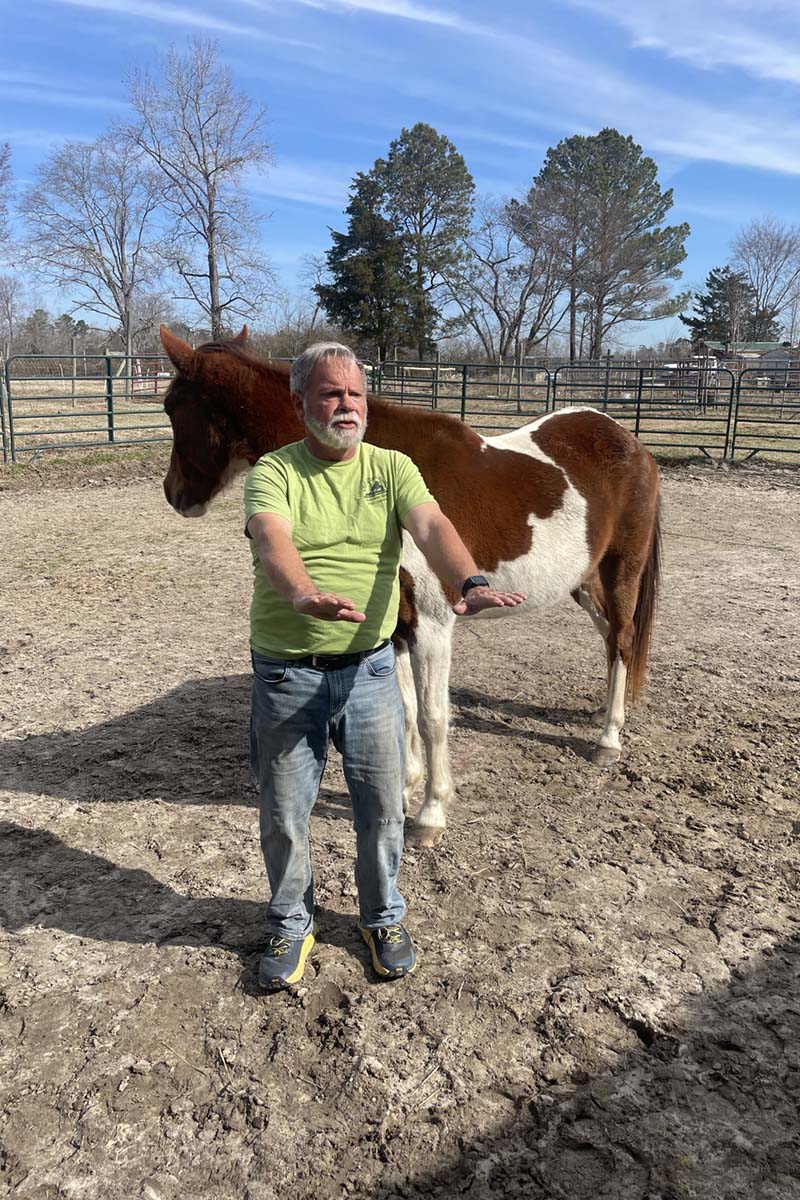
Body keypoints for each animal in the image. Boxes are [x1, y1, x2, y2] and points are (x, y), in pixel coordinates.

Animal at [159, 325, 662, 847]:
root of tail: (630, 443)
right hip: (583, 581)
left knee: (623, 639)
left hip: (621, 569)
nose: (174, 494)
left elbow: (432, 716)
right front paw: (405, 787)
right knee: (610, 639)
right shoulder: (395, 628)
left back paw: (608, 739)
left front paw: (431, 812)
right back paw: (601, 714)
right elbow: (400, 709)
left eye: (171, 407)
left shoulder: (432, 628)